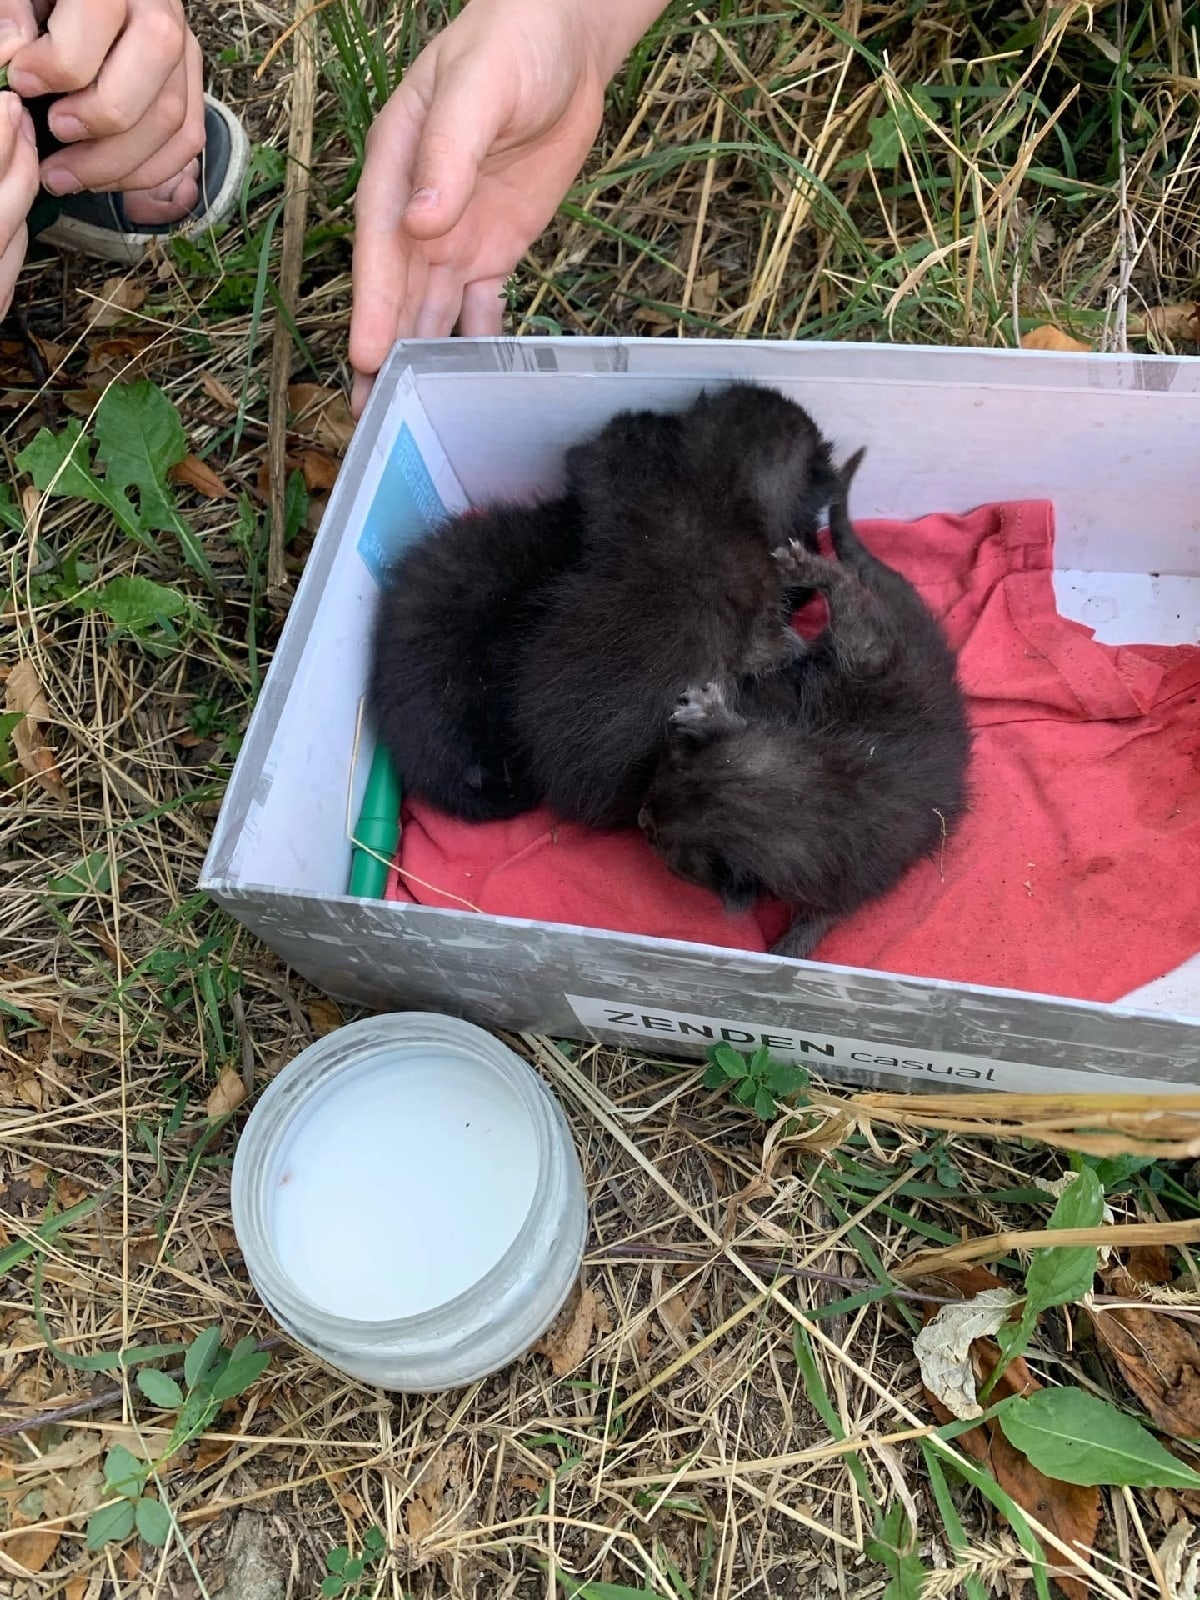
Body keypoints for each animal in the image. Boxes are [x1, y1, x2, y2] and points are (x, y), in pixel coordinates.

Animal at [640, 457, 979, 960]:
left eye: (660, 842)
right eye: (673, 766)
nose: (640, 816)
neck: (820, 799)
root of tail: (931, 645)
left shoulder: (855, 881)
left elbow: (822, 920)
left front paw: (787, 950)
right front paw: (708, 713)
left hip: (868, 652)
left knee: (852, 594)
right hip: (865, 652)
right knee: (850, 594)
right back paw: (798, 569)